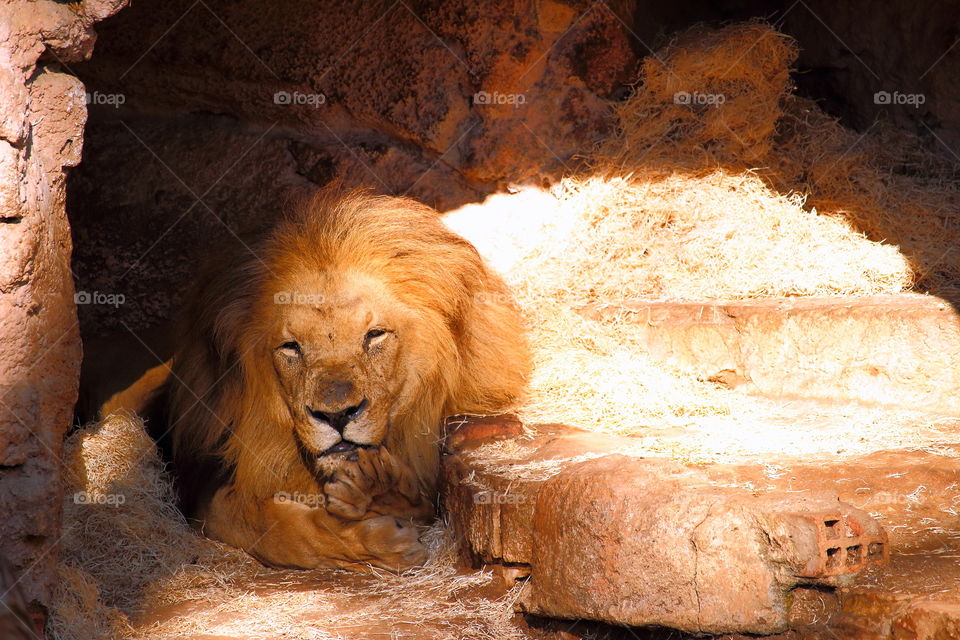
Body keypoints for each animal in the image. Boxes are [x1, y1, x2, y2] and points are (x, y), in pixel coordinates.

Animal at [150, 190, 531, 571]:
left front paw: (385, 493)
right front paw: (380, 540)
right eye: (291, 347)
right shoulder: (204, 492)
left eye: (374, 335)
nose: (336, 416)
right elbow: (266, 529)